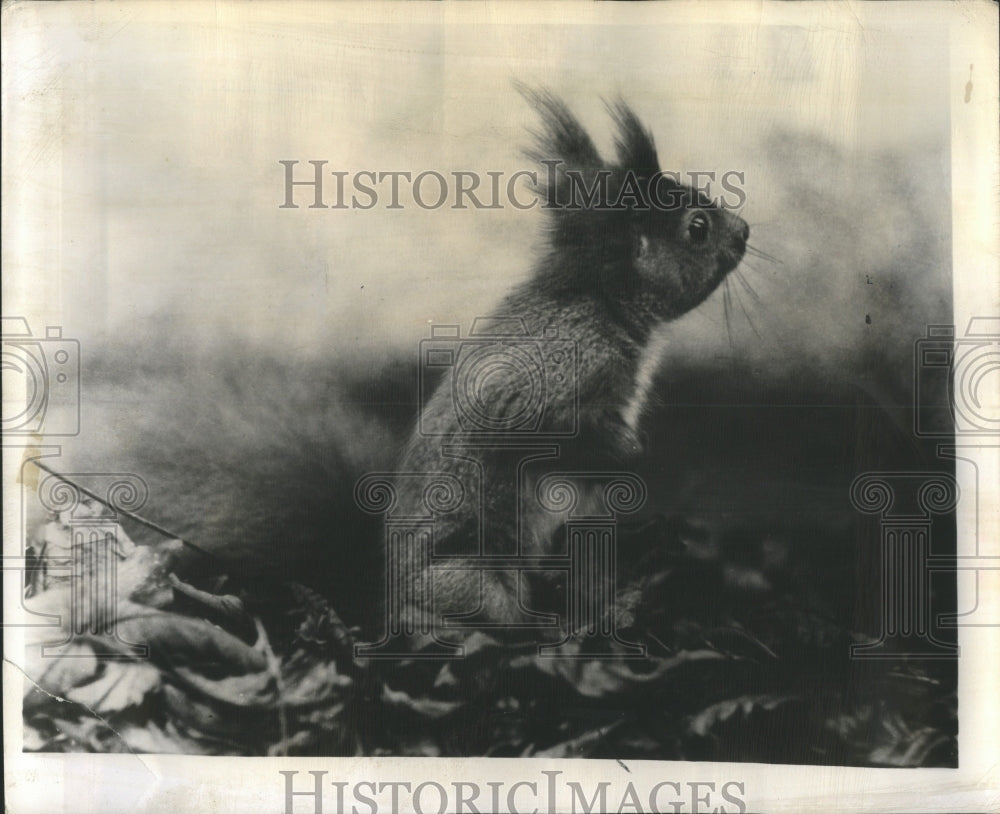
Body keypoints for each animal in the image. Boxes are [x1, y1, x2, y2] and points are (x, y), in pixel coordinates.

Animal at [376, 87, 752, 636]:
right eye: (697, 228)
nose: (746, 230)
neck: (603, 302)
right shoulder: (558, 369)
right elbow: (535, 428)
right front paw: (626, 449)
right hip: (472, 575)